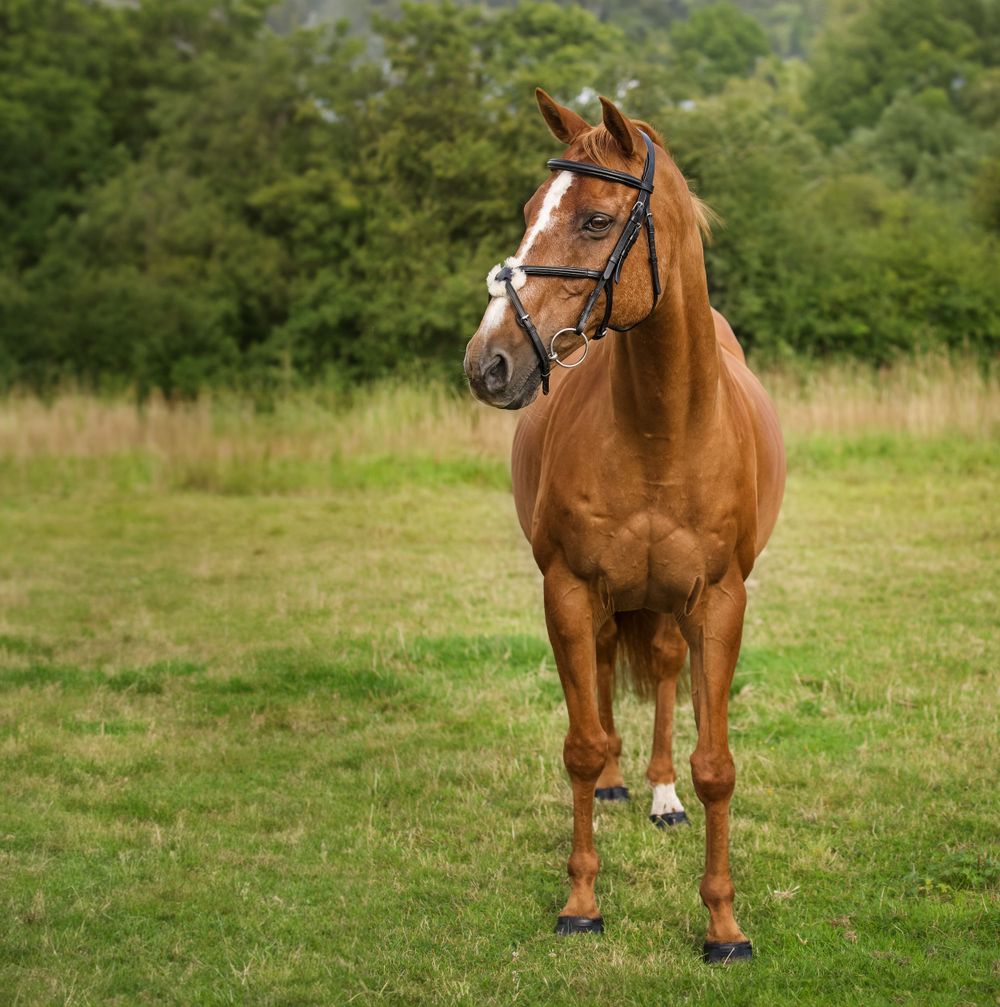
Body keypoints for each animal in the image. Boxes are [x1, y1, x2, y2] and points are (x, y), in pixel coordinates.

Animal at [463, 89, 786, 964]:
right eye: (530, 211)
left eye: (597, 221)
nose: (488, 363)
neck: (660, 429)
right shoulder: (569, 591)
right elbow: (578, 744)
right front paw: (581, 903)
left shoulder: (720, 602)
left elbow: (717, 764)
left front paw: (723, 926)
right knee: (607, 679)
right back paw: (615, 782)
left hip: (671, 607)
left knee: (667, 674)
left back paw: (661, 794)